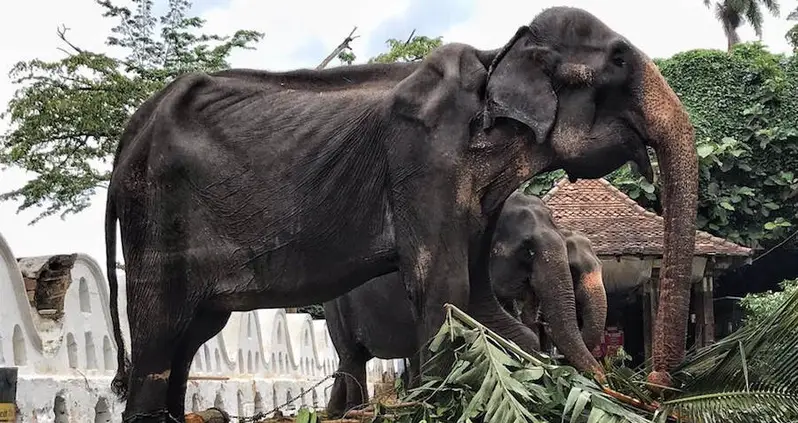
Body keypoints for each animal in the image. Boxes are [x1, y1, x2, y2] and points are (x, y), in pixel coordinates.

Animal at [322, 192, 608, 418]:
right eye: (528, 250)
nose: (606, 383)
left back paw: (339, 411)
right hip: (335, 308)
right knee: (352, 357)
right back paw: (357, 412)